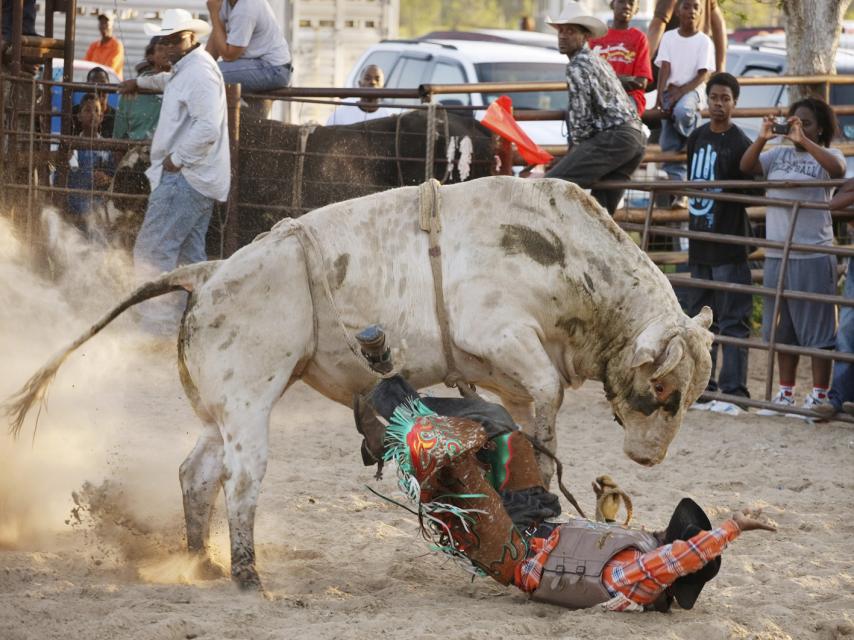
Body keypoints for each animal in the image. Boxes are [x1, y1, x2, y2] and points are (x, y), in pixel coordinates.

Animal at [6, 176, 716, 592]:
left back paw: (200, 561)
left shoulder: (515, 379)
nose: (649, 458)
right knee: (240, 478)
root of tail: (206, 272)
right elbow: (547, 399)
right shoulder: (505, 336)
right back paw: (246, 574)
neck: (565, 260)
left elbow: (535, 426)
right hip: (249, 403)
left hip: (220, 409)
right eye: (665, 392)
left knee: (195, 472)